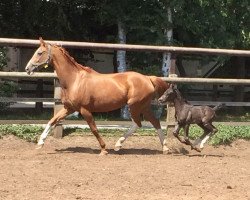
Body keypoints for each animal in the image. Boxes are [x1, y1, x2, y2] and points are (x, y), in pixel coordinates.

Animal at [25, 38, 170, 155]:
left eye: (39, 53)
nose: (27, 69)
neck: (74, 80)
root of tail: (147, 78)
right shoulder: (69, 108)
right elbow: (52, 120)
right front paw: (40, 143)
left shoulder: (84, 110)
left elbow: (93, 129)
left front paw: (104, 149)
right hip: (143, 106)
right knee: (154, 122)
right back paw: (164, 148)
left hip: (135, 105)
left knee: (138, 123)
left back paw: (118, 145)